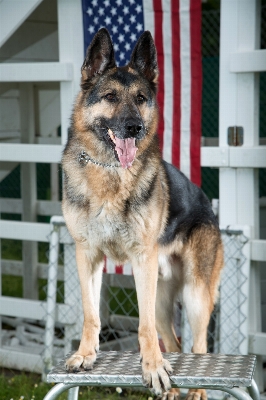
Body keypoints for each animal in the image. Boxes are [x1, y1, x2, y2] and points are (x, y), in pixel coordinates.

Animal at [61, 28, 222, 400]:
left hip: (194, 296)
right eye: (109, 96)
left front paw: (152, 367)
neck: (109, 173)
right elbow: (91, 313)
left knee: (200, 347)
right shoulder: (87, 256)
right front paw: (85, 354)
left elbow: (144, 326)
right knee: (175, 343)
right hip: (163, 300)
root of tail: (208, 205)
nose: (134, 127)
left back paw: (197, 390)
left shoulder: (140, 260)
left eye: (140, 98)